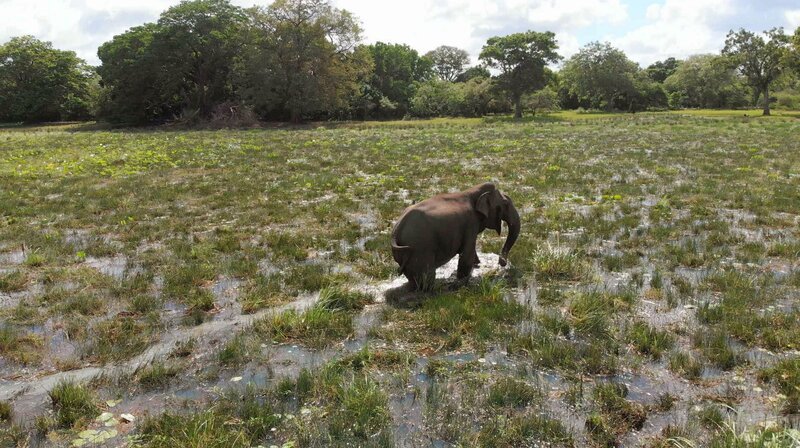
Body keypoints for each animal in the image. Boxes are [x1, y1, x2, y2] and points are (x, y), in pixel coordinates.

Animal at [391, 182, 520, 290]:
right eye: (506, 204)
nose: (502, 263)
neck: (473, 191)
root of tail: (396, 231)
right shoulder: (471, 222)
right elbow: (467, 251)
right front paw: (462, 282)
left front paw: (477, 265)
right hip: (420, 248)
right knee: (427, 274)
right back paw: (431, 290)